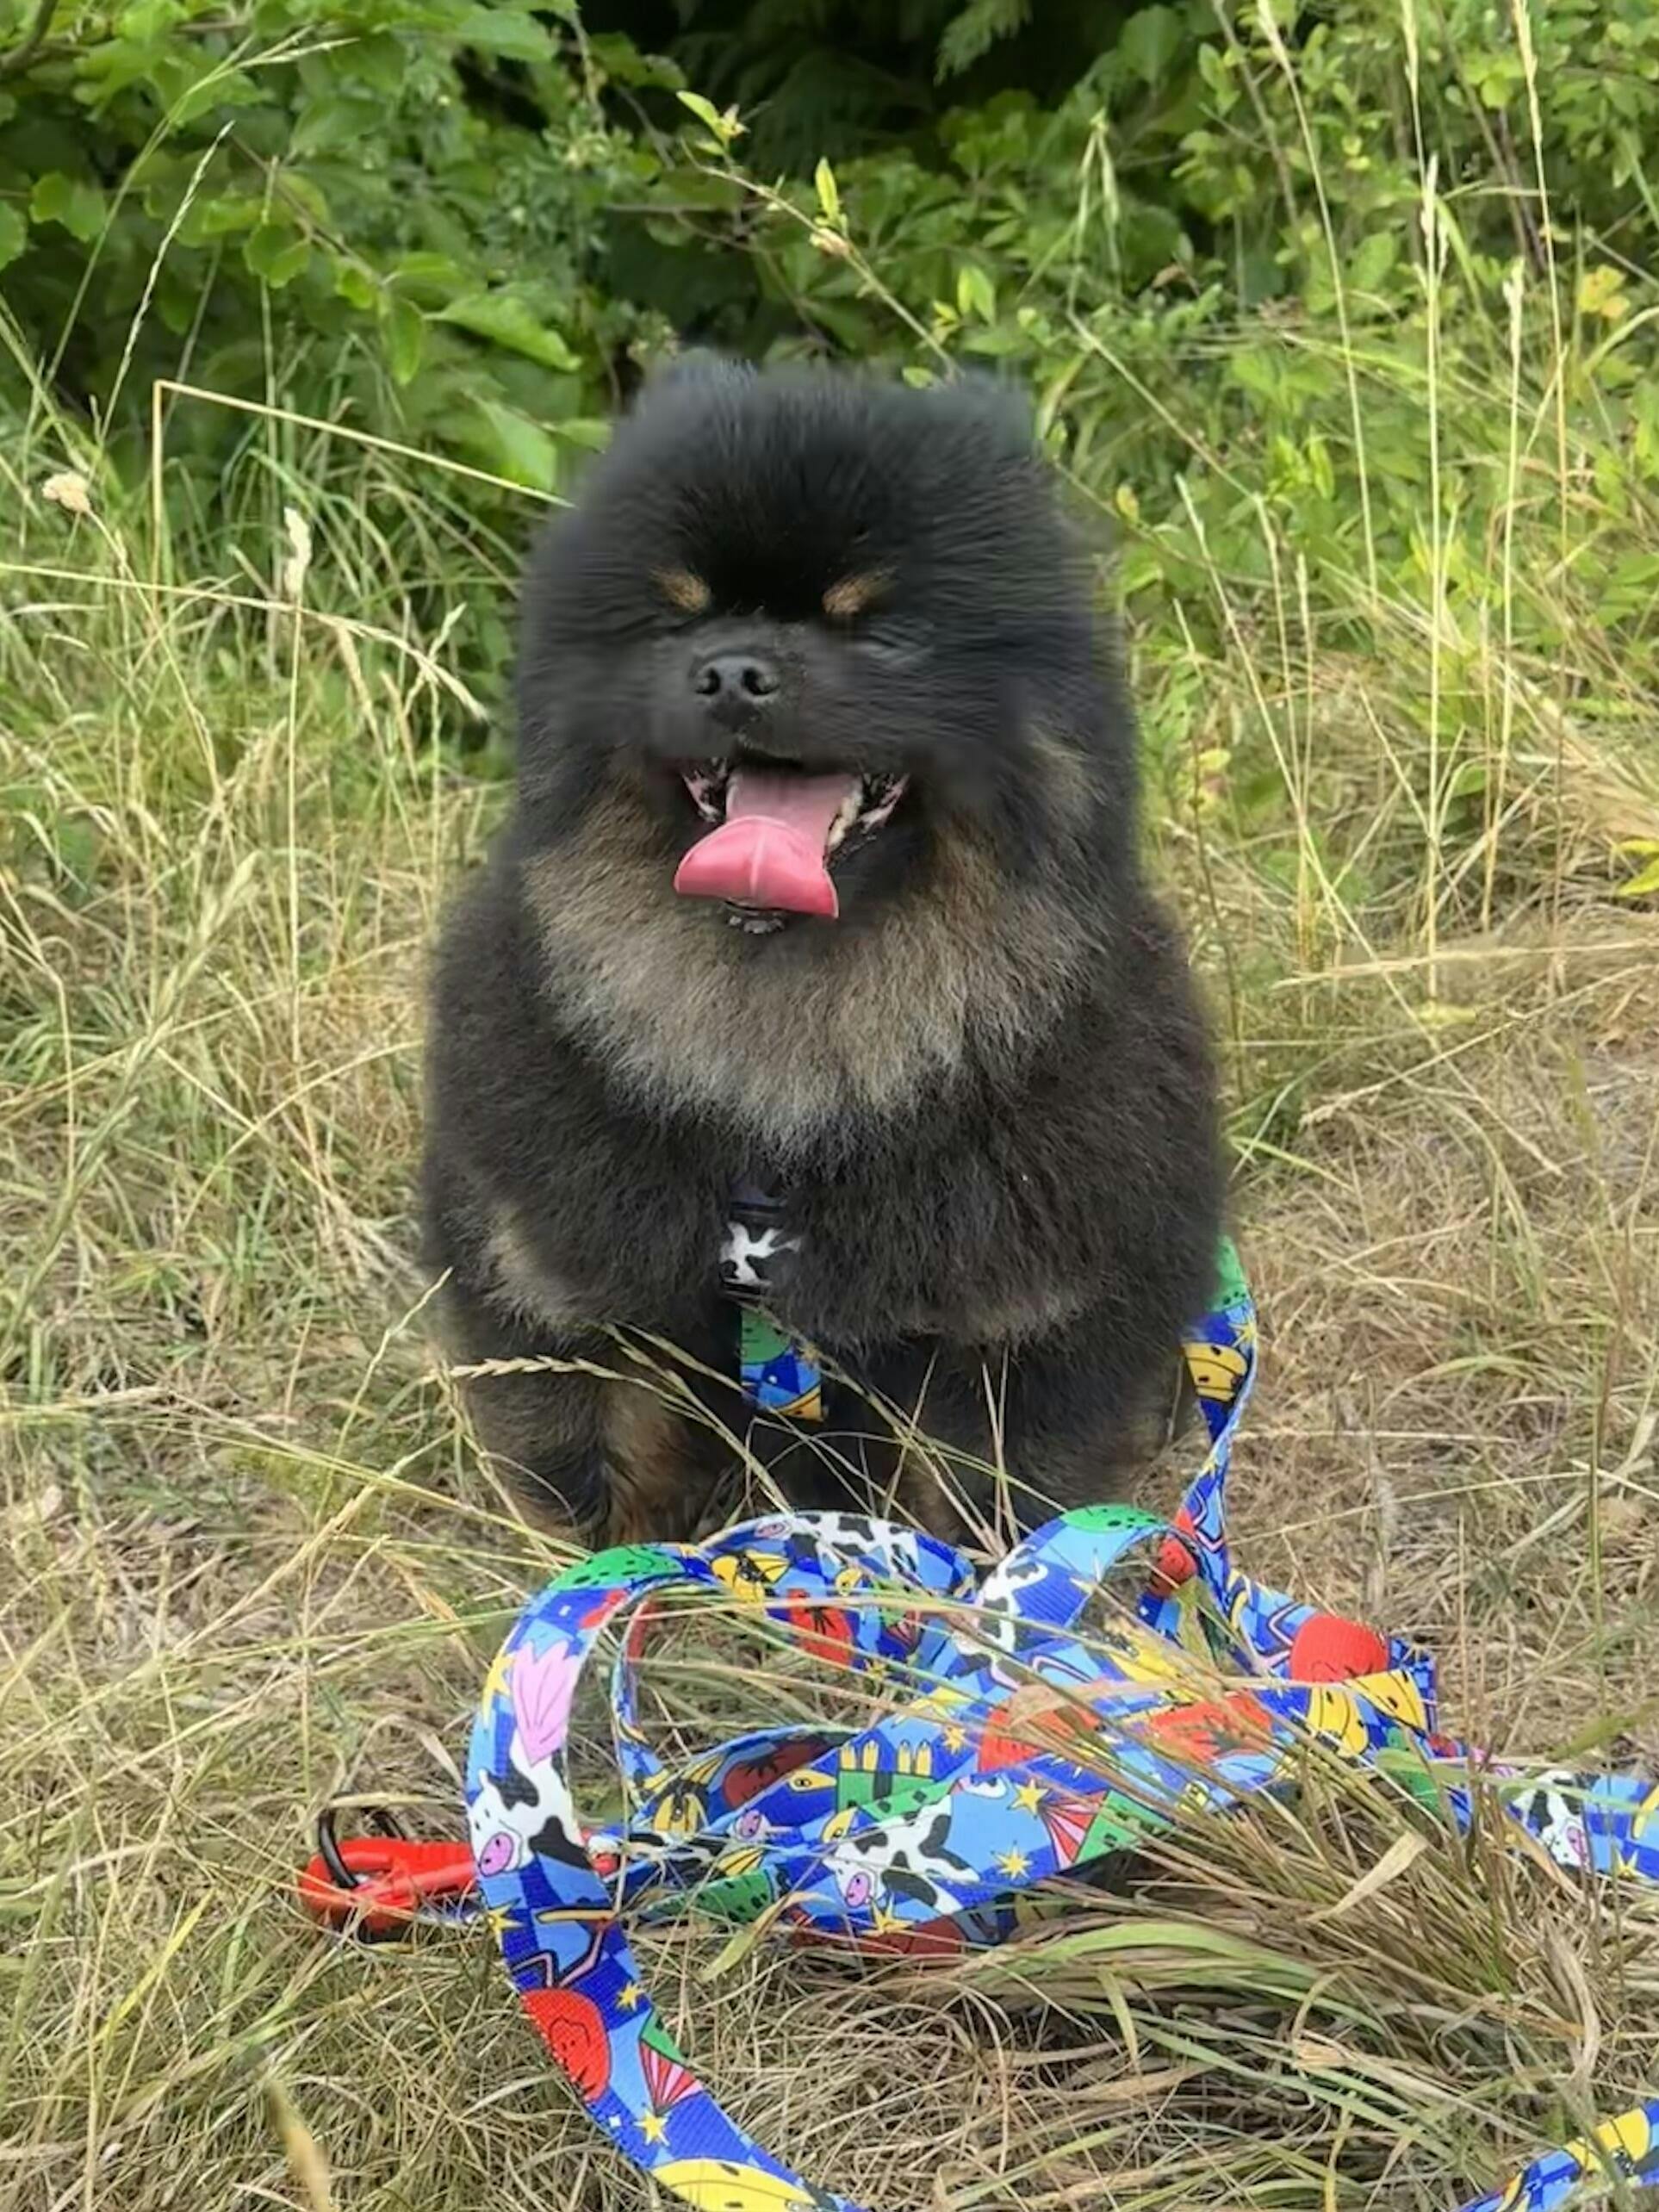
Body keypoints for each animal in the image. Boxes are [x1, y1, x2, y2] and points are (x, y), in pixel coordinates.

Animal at [421, 357, 1223, 1547]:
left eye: (876, 633)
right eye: (678, 624)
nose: (732, 672)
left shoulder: (1029, 1326)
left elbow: (987, 1515)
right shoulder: (556, 1288)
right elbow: (590, 1480)